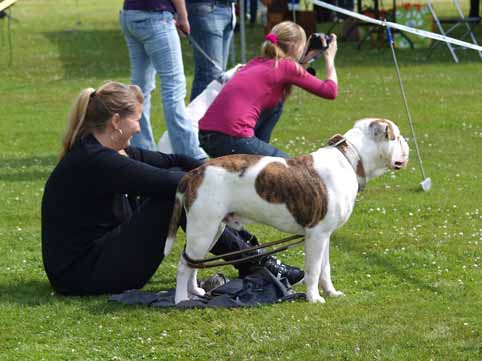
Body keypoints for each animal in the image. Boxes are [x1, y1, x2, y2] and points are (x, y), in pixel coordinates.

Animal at [164, 119, 408, 304]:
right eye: (395, 137)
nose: (407, 143)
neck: (351, 159)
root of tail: (193, 173)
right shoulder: (316, 235)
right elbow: (313, 270)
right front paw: (314, 298)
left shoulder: (325, 236)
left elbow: (325, 269)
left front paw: (331, 292)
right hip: (203, 229)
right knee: (184, 265)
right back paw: (181, 300)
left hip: (212, 230)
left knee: (194, 262)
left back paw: (195, 292)